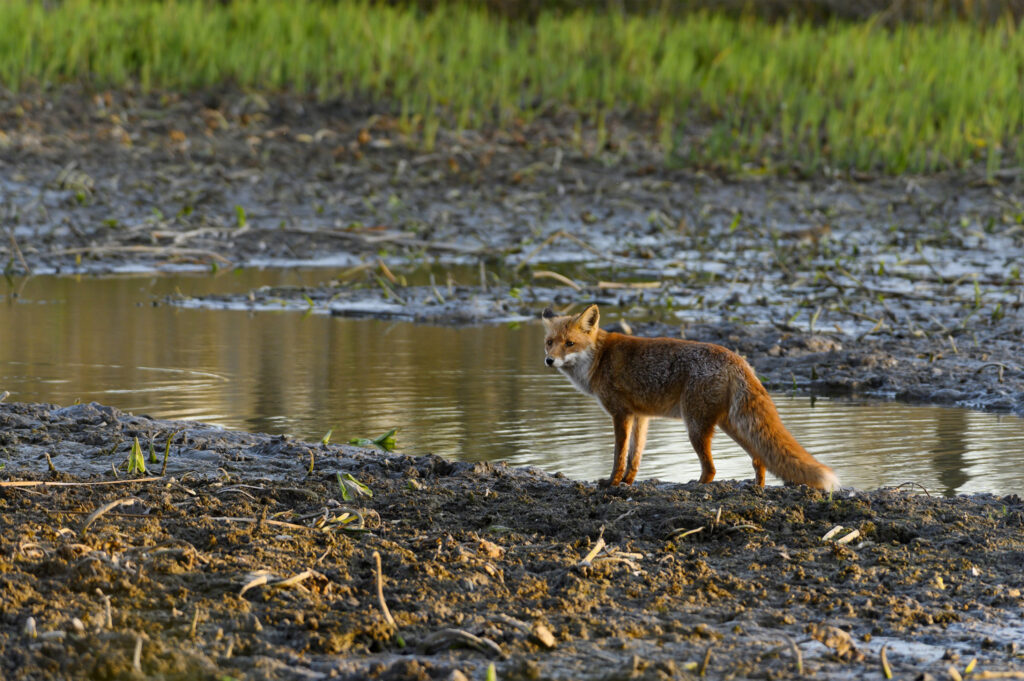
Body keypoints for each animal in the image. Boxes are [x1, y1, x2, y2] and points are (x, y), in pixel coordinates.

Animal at [544, 303, 839, 489]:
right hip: (729, 424)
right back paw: (757, 486)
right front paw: (627, 482)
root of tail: (737, 359)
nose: (548, 361)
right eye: (549, 342)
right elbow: (634, 456)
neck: (599, 358)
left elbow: (619, 455)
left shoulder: (621, 414)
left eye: (570, 343)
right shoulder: (640, 417)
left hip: (695, 426)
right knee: (759, 457)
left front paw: (613, 483)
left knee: (712, 469)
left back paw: (697, 486)